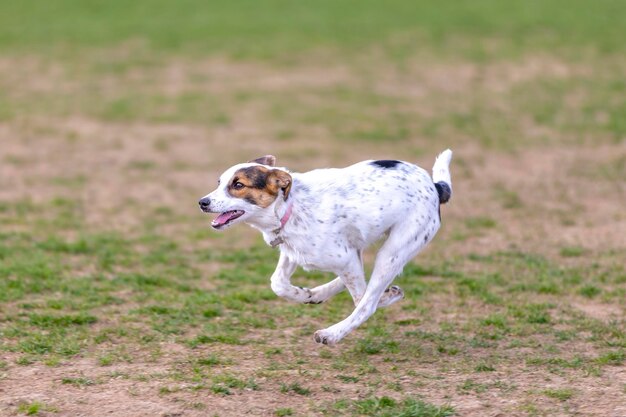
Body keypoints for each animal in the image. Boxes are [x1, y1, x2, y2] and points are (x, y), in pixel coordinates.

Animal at [197, 150, 450, 344]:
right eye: (219, 183)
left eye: (238, 185)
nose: (202, 202)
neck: (289, 207)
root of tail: (435, 186)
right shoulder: (294, 252)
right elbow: (278, 283)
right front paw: (304, 294)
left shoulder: (344, 257)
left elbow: (361, 298)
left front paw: (385, 297)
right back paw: (318, 294)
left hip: (392, 252)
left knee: (366, 302)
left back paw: (332, 333)